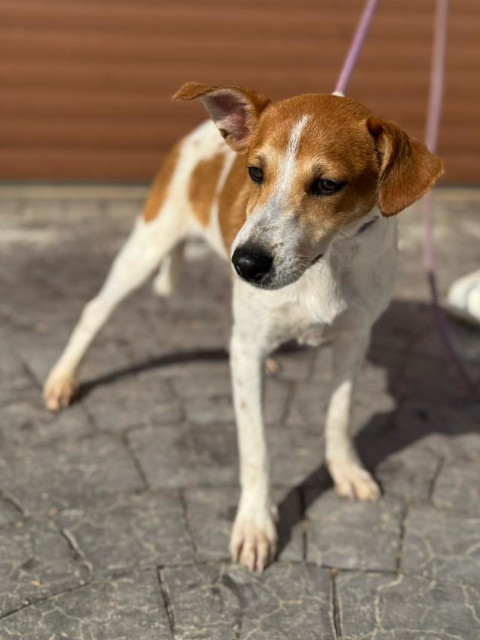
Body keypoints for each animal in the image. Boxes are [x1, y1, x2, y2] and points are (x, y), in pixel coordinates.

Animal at [43, 83, 443, 572]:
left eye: (327, 185)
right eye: (255, 172)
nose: (247, 263)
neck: (326, 264)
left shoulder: (355, 337)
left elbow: (339, 413)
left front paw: (345, 470)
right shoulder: (250, 350)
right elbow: (256, 450)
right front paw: (255, 524)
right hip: (147, 247)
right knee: (94, 310)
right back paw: (63, 379)